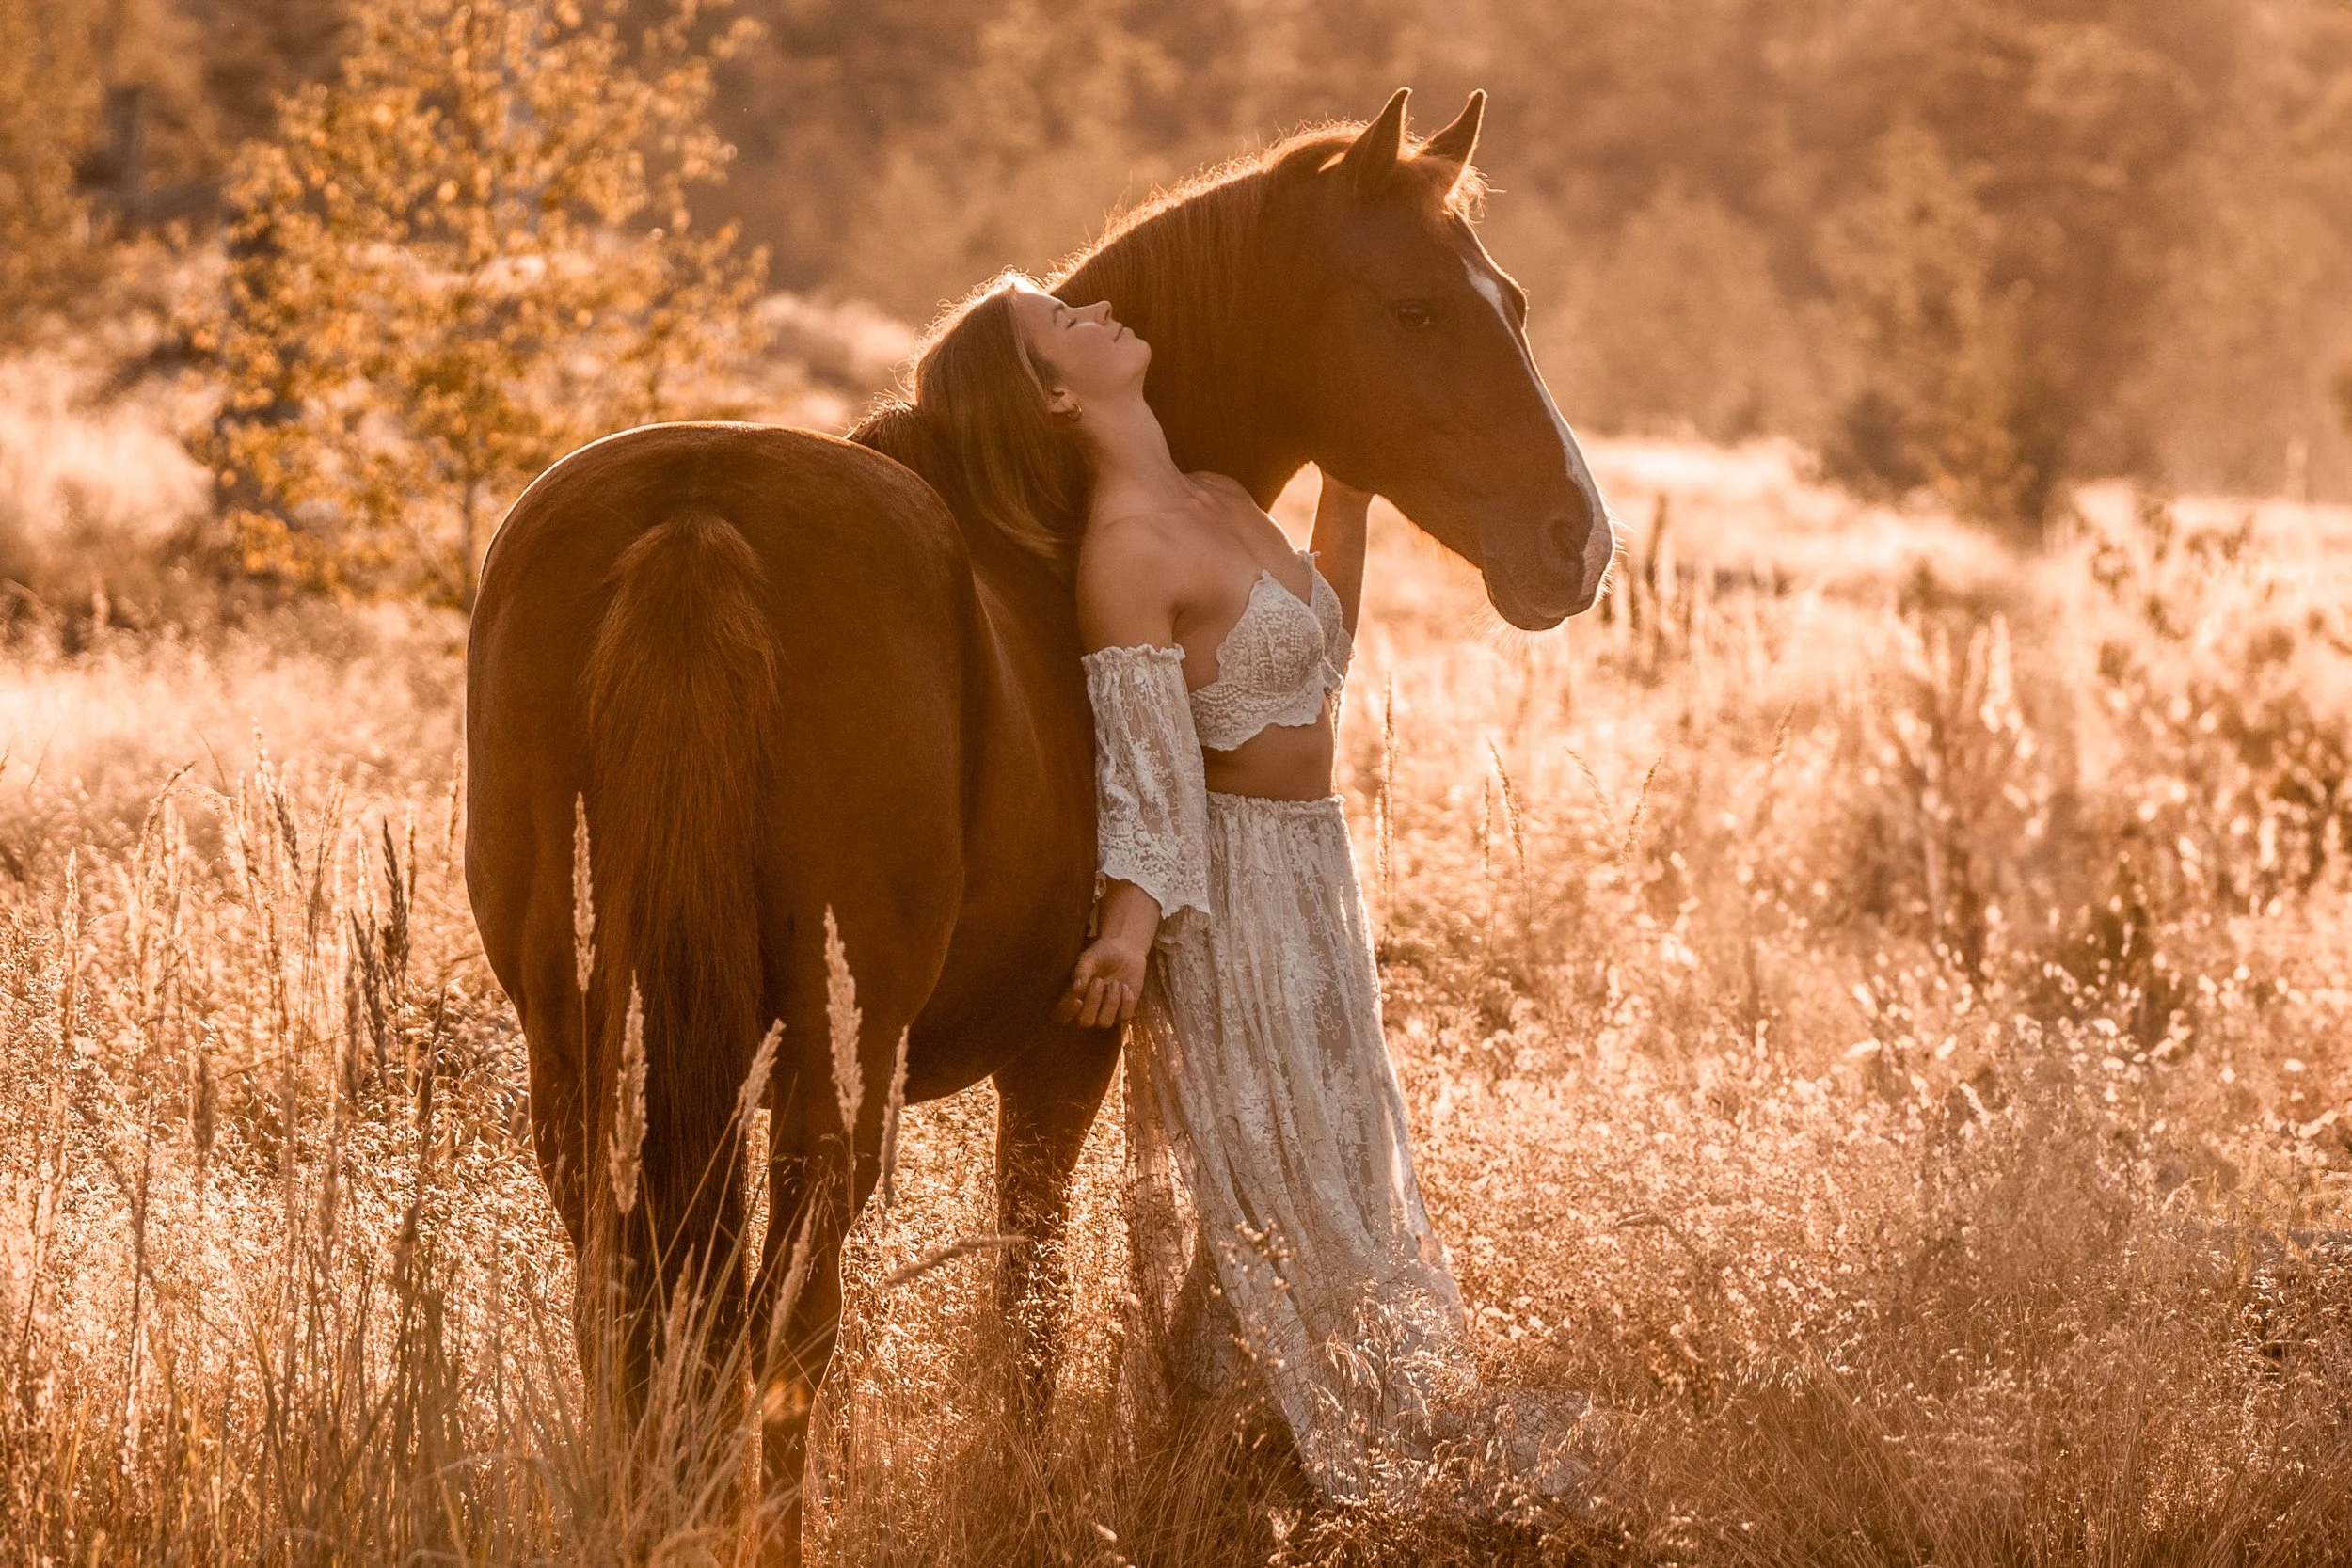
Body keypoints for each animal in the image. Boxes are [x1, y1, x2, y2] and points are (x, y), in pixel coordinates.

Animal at [464, 88, 1614, 1558]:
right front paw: (1021, 1492)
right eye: (1414, 310)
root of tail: (701, 515)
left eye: (1508, 301)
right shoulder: (1063, 1054)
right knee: (786, 1325)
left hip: (586, 1054)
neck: (1038, 515)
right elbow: (1031, 1291)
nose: (1573, 540)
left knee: (631, 1300)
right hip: (832, 1076)